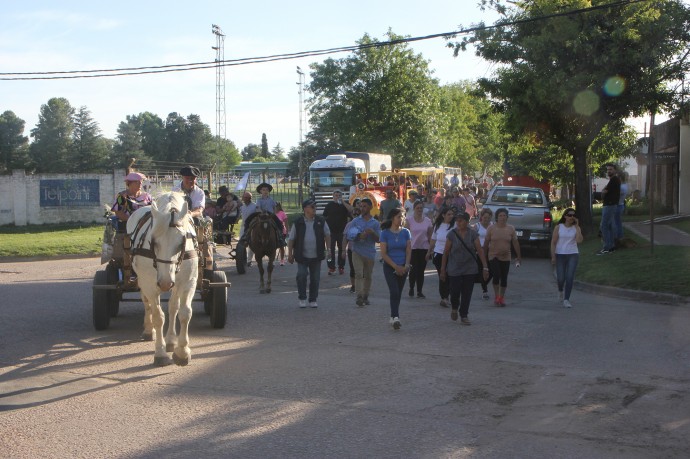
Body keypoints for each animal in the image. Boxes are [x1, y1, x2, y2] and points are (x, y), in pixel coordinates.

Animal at [127, 192, 199, 368]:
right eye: (153, 241)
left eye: (181, 242)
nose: (166, 283)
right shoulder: (150, 284)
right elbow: (158, 317)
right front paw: (160, 353)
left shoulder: (189, 281)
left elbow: (184, 313)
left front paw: (182, 351)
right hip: (143, 280)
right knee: (147, 304)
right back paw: (148, 329)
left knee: (173, 307)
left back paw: (171, 340)